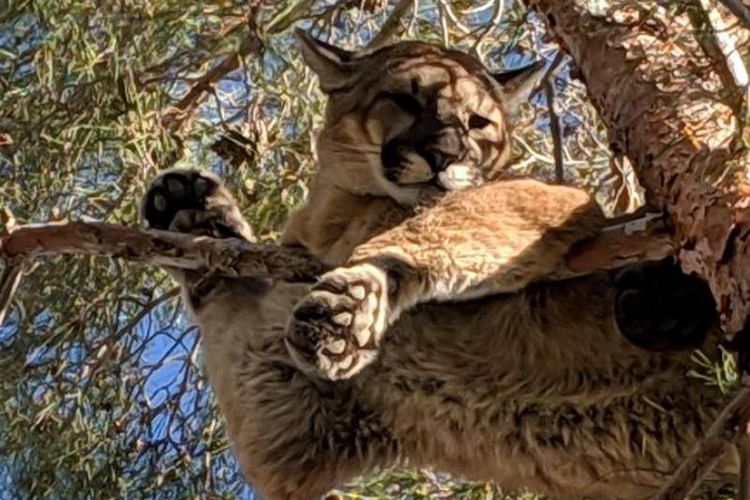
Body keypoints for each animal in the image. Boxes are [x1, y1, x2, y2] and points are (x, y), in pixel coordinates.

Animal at [140, 32, 728, 500]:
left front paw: (354, 303)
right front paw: (194, 217)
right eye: (404, 99)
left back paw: (663, 301)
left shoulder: (549, 196)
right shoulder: (296, 417)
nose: (447, 154)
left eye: (479, 121)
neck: (339, 214)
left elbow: (435, 229)